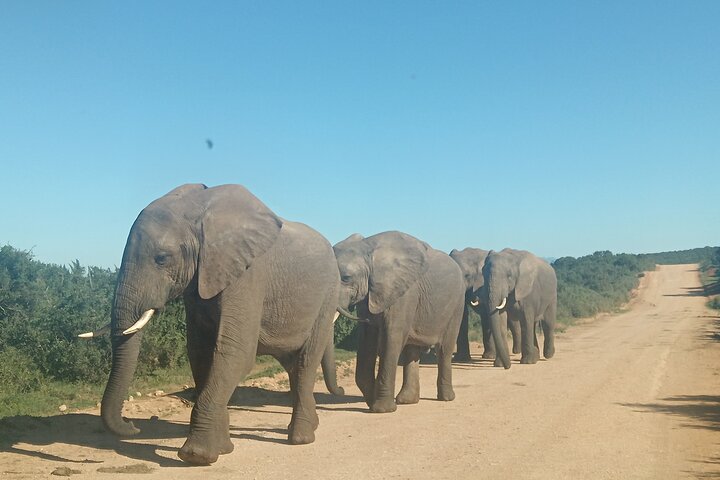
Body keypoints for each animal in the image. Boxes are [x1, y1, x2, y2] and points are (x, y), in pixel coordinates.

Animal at [82, 184, 340, 465]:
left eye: (162, 258)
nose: (133, 425)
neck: (202, 212)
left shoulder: (249, 274)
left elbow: (235, 353)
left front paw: (195, 456)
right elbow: (200, 352)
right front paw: (223, 449)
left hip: (327, 298)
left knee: (305, 362)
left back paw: (300, 438)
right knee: (292, 365)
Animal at [333, 231, 465, 413]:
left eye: (346, 278)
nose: (341, 390)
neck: (368, 249)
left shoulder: (404, 294)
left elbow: (392, 339)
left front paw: (381, 409)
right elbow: (367, 340)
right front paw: (373, 404)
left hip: (457, 304)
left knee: (445, 349)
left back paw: (446, 398)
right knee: (412, 350)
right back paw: (407, 401)